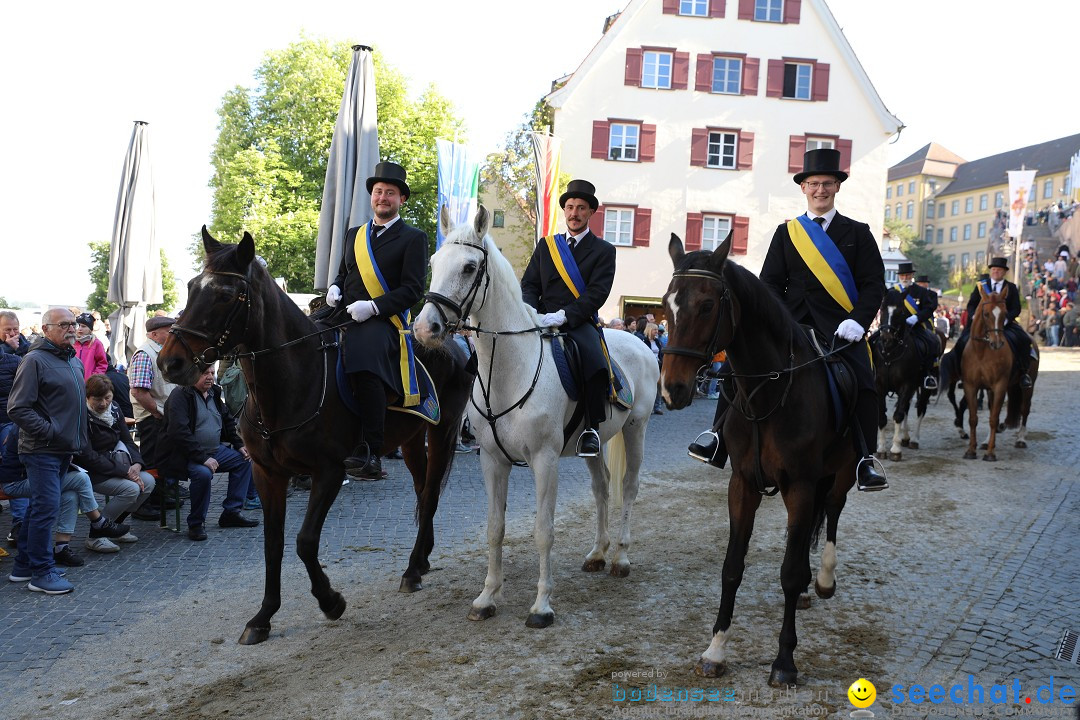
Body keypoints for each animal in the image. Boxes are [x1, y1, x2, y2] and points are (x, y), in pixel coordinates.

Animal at [157, 227, 473, 643]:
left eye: (225, 294)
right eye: (192, 287)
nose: (169, 362)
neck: (290, 382)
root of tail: (451, 338)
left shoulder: (329, 471)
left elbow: (305, 542)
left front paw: (330, 600)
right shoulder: (266, 473)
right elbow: (272, 544)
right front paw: (263, 616)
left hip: (443, 430)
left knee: (432, 493)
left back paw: (411, 571)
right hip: (410, 440)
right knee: (423, 492)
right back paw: (420, 561)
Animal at [412, 205, 656, 626]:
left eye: (469, 267)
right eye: (433, 263)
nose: (425, 328)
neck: (509, 368)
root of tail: (639, 342)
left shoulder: (544, 460)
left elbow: (544, 531)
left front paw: (542, 605)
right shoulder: (492, 460)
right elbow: (495, 528)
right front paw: (487, 597)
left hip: (635, 430)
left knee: (628, 487)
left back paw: (620, 558)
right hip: (594, 444)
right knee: (602, 487)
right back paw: (598, 553)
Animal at [656, 235, 859, 686]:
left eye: (707, 305)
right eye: (665, 303)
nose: (672, 389)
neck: (768, 394)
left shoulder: (800, 485)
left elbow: (788, 573)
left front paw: (784, 661)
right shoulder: (743, 483)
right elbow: (733, 566)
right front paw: (716, 649)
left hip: (839, 472)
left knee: (834, 510)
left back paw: (823, 579)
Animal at [872, 287, 941, 462]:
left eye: (901, 311)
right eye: (882, 308)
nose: (887, 336)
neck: (890, 353)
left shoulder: (906, 385)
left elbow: (898, 415)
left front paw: (895, 450)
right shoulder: (880, 386)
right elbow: (882, 416)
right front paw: (881, 448)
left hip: (925, 387)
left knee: (920, 409)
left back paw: (914, 440)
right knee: (907, 409)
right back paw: (905, 437)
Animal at [963, 284, 1036, 459]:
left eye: (1004, 313)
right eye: (986, 314)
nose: (997, 343)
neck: (981, 351)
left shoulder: (999, 386)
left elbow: (994, 419)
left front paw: (990, 453)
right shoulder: (971, 386)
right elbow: (973, 418)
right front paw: (971, 450)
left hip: (1028, 386)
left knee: (1025, 409)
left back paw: (1021, 439)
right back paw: (985, 442)